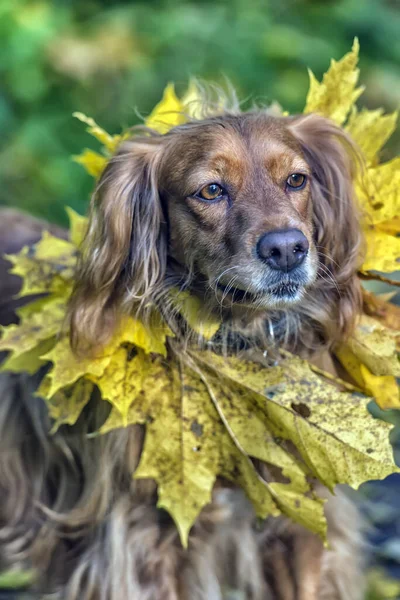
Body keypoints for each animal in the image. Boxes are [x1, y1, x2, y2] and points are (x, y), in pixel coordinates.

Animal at [0, 104, 368, 600]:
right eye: (211, 190)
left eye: (296, 180)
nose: (288, 249)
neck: (233, 346)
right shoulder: (144, 538)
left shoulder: (302, 521)